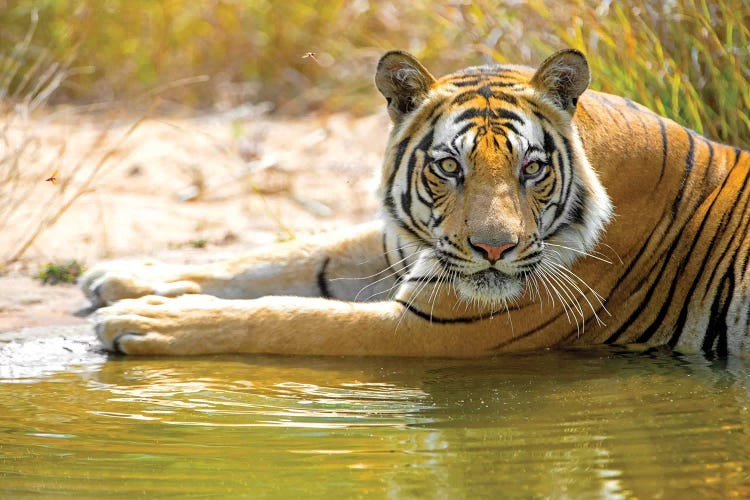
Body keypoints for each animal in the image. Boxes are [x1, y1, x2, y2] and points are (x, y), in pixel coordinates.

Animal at [82, 48, 750, 358]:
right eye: (449, 167)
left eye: (532, 169)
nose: (494, 250)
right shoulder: (405, 245)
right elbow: (280, 257)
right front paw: (122, 276)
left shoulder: (435, 328)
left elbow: (290, 316)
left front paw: (145, 320)